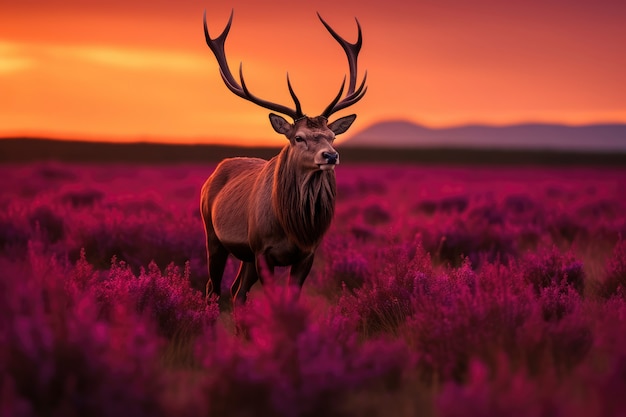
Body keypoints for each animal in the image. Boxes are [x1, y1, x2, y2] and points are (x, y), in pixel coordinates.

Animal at [200, 10, 366, 308]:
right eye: (298, 137)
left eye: (331, 136)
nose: (331, 155)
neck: (293, 228)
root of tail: (213, 174)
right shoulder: (263, 250)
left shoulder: (306, 254)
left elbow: (291, 298)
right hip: (213, 236)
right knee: (213, 288)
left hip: (246, 256)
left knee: (237, 292)